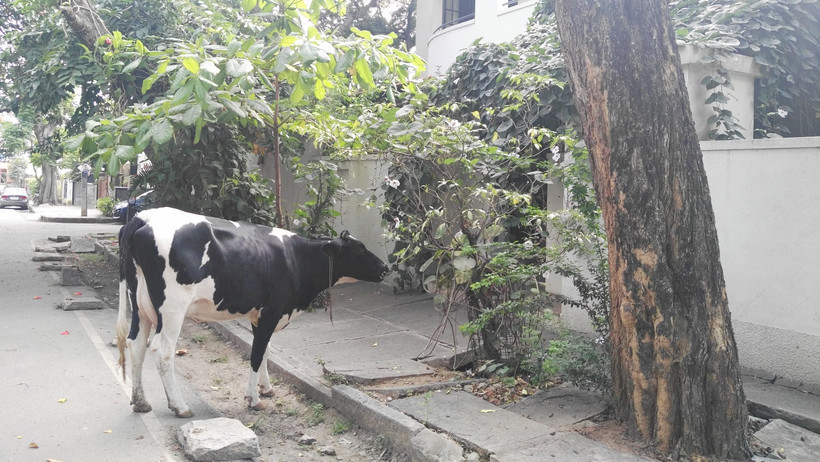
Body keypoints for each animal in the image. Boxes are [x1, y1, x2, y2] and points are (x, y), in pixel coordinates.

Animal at [113, 208, 390, 416]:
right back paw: (180, 406)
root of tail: (145, 216)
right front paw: (254, 400)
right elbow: (256, 355)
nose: (385, 267)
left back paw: (141, 402)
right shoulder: (272, 311)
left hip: (140, 306)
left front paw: (265, 388)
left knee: (136, 345)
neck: (296, 259)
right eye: (359, 249)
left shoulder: (262, 315)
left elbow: (265, 349)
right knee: (162, 352)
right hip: (172, 310)